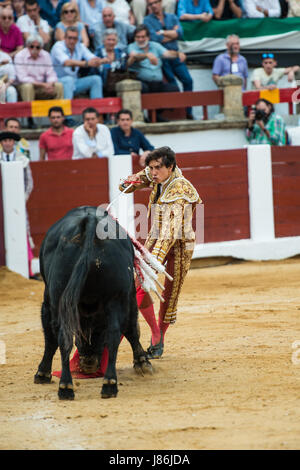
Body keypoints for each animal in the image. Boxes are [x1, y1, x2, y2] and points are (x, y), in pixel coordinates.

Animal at [33, 207, 152, 400]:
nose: (88, 364)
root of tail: (90, 223)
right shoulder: (127, 295)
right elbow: (131, 329)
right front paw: (142, 362)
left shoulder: (49, 301)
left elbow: (51, 338)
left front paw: (43, 373)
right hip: (115, 298)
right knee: (114, 334)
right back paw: (108, 384)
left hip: (63, 299)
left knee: (64, 336)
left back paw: (67, 387)